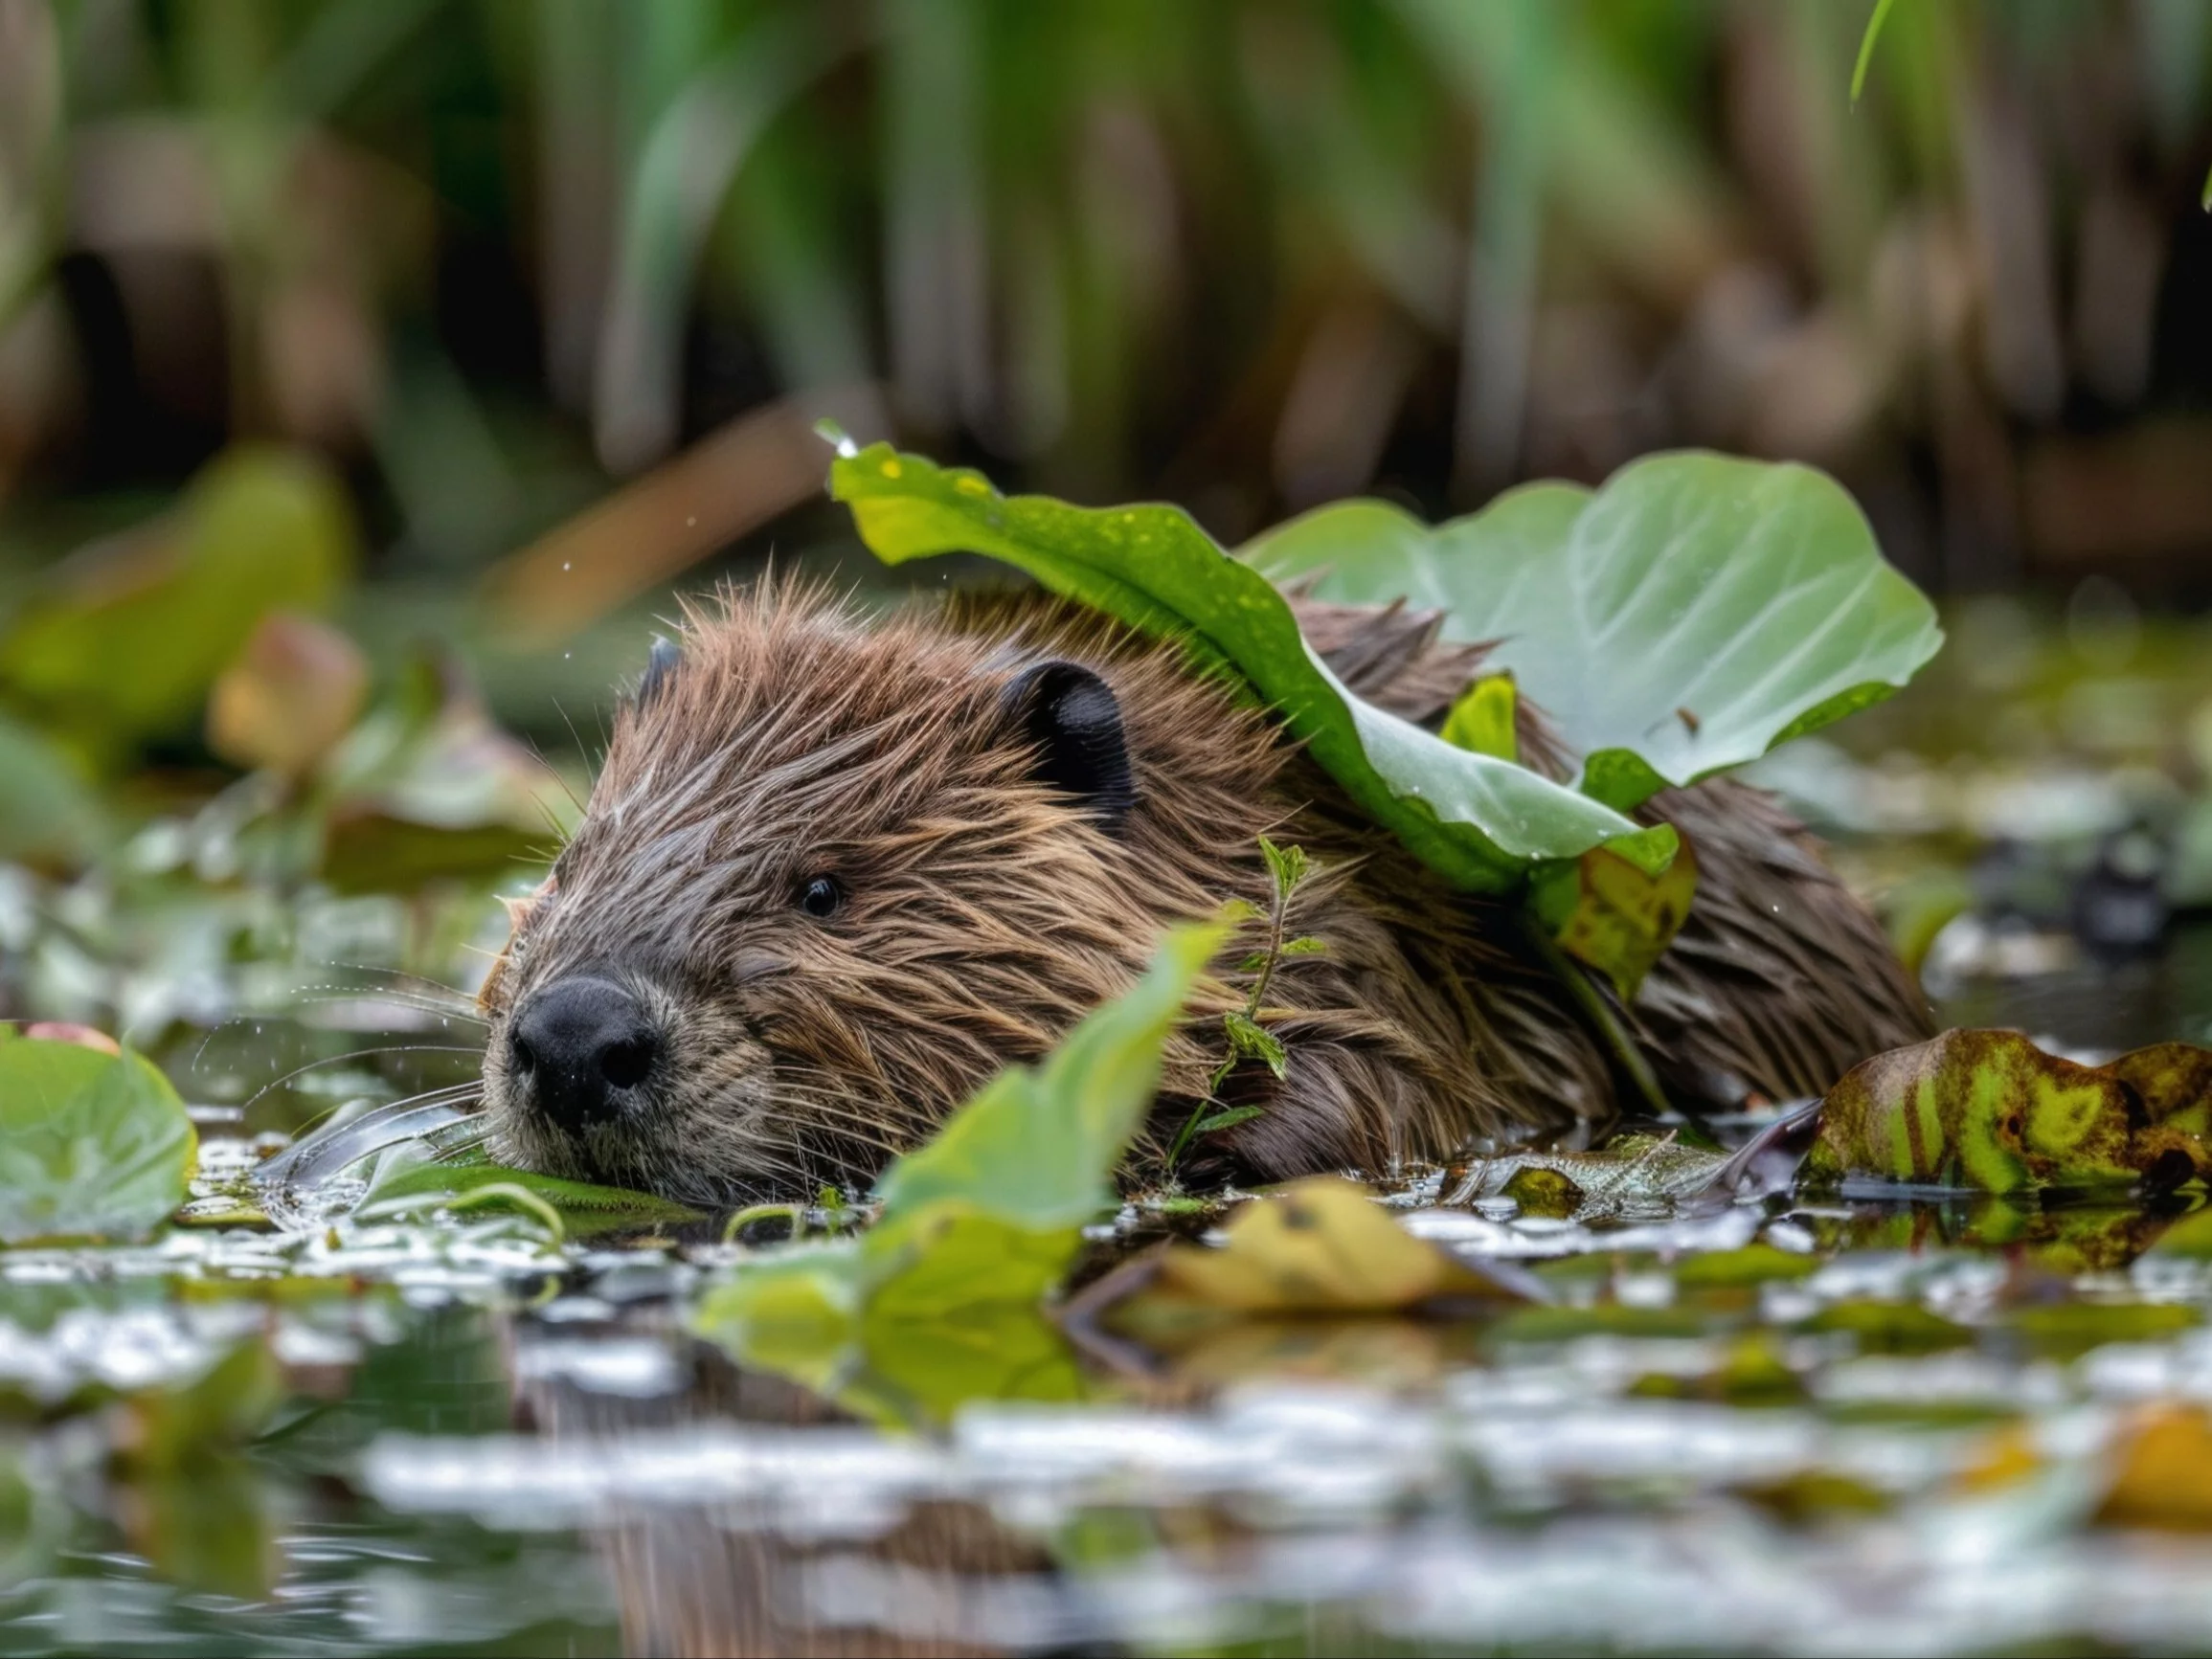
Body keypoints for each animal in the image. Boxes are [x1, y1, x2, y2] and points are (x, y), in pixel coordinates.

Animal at [475, 584, 1929, 1212]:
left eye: (823, 886)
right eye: (575, 860)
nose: (575, 1038)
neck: (1228, 835)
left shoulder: (1386, 953)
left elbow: (1396, 1102)